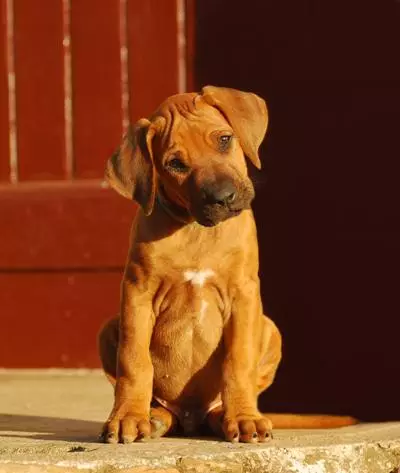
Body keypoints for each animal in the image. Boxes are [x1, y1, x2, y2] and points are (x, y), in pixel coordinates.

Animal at [98, 85, 354, 442]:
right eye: (175, 164)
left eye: (224, 139)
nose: (223, 197)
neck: (196, 230)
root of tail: (191, 417)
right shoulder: (138, 293)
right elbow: (134, 361)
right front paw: (128, 417)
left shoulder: (243, 294)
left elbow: (239, 361)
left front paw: (245, 417)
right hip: (110, 328)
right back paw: (155, 416)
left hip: (270, 330)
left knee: (223, 401)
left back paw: (229, 416)